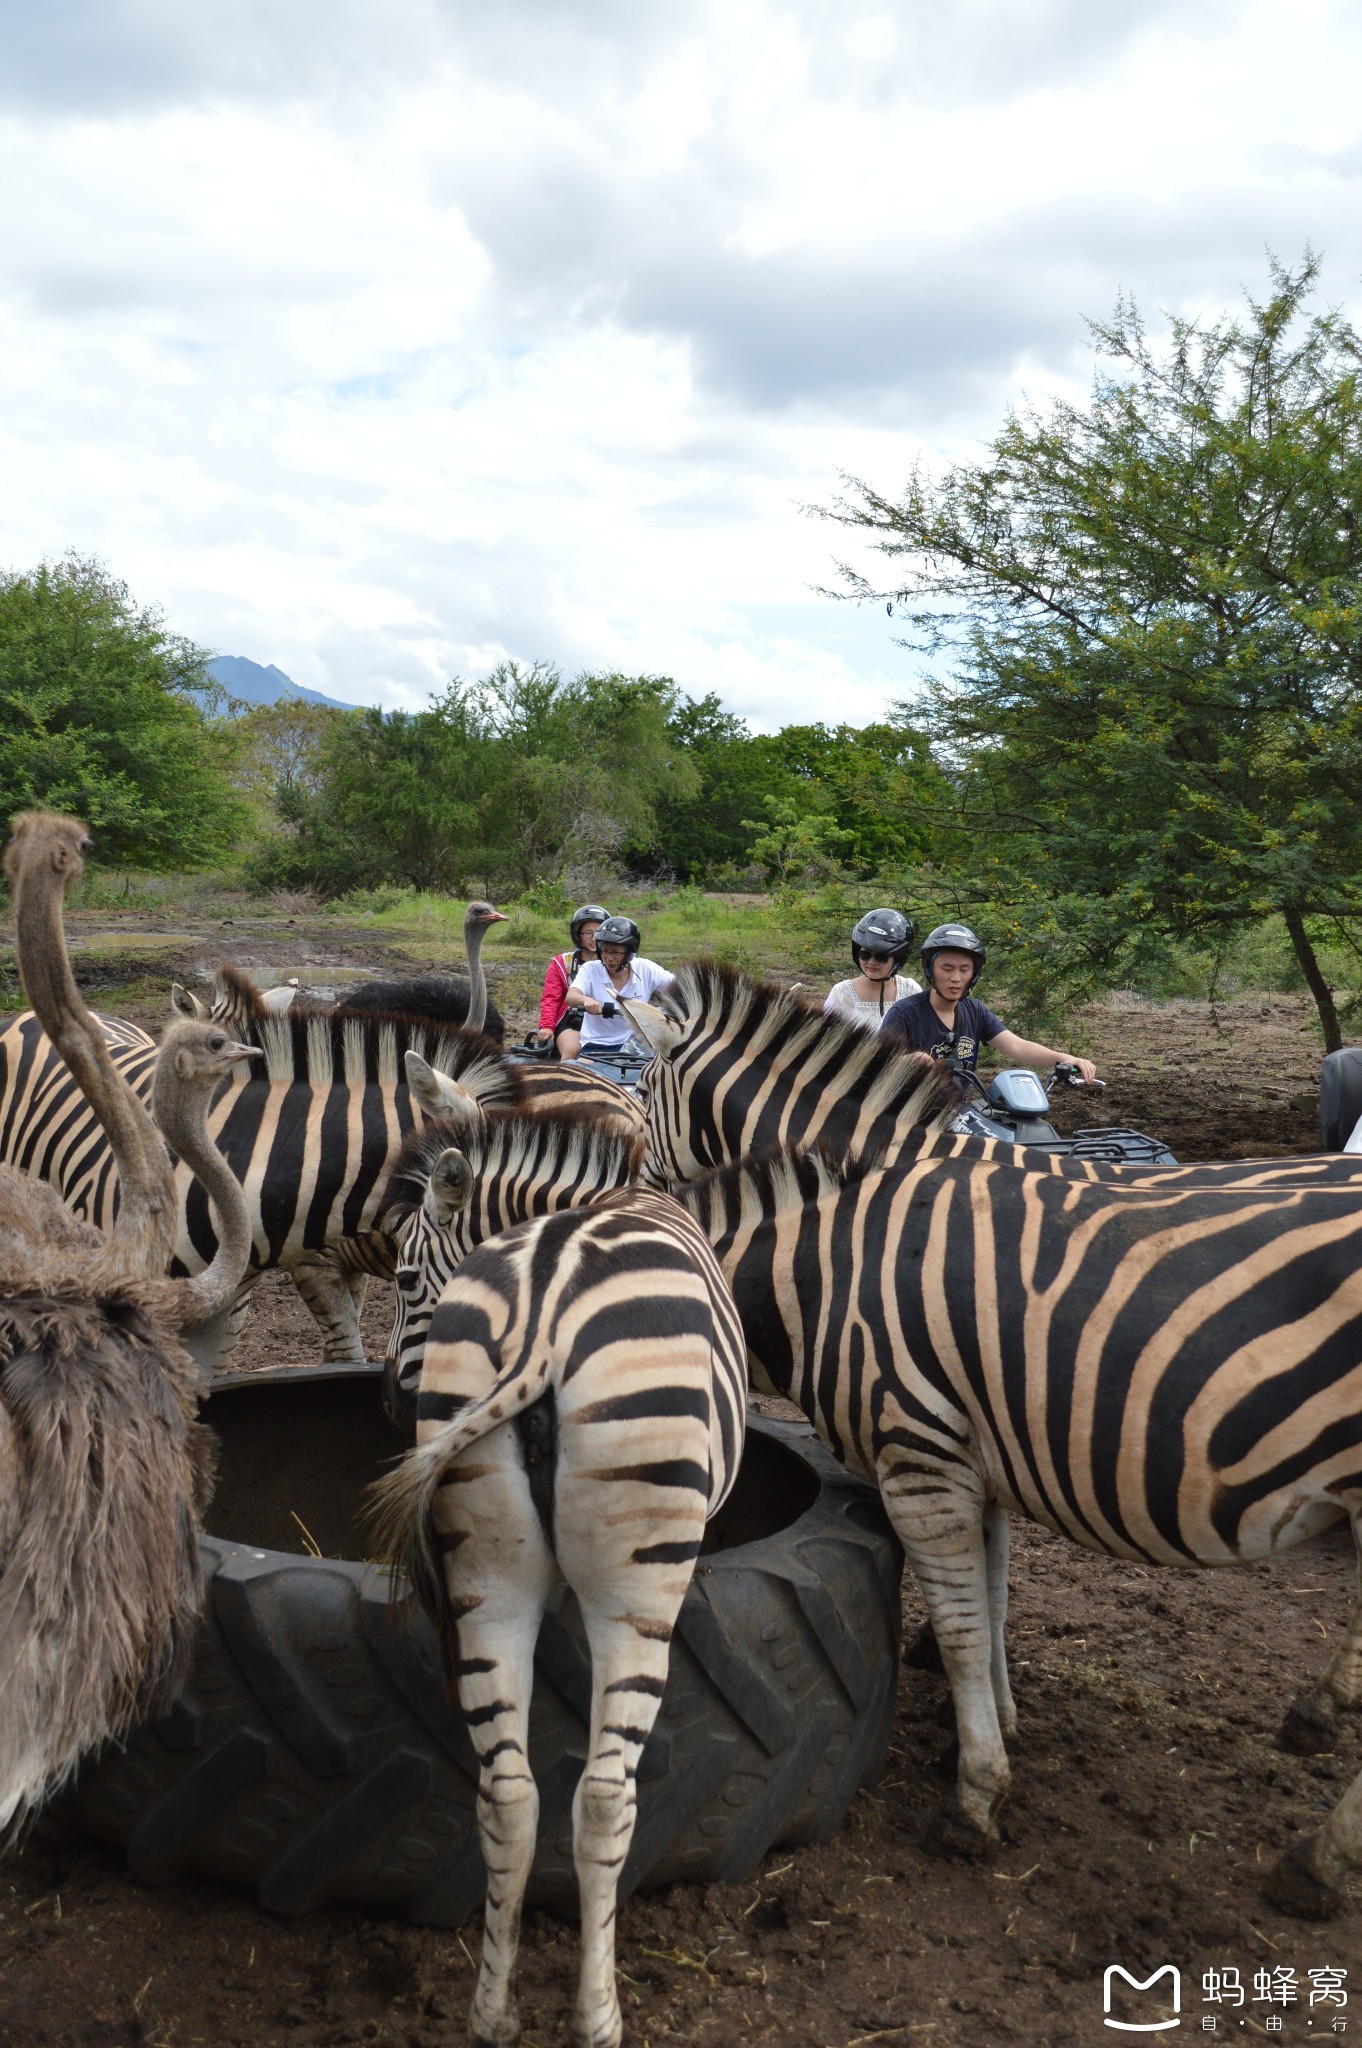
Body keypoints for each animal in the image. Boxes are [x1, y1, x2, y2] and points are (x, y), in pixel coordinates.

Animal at [366, 1187, 745, 2048]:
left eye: (403, 1277)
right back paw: (597, 2015)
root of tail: (541, 1320)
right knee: (604, 1796)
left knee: (507, 1793)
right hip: (637, 1584)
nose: (388, 1403)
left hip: (487, 1579)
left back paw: (492, 2013)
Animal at [667, 1138, 1362, 1916]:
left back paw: (1315, 1864)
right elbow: (994, 1604)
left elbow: (961, 1630)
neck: (818, 1288)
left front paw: (974, 1801)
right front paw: (993, 1733)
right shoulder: (979, 1464)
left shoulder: (921, 1460)